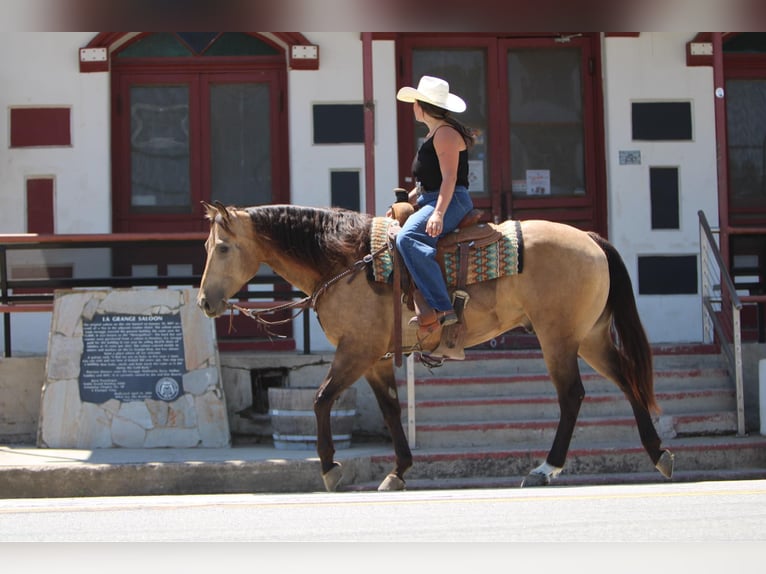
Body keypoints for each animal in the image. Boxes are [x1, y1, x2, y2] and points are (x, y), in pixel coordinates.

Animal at [200, 201, 680, 490]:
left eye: (222, 248)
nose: (205, 301)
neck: (346, 260)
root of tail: (590, 239)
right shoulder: (374, 359)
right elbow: (391, 409)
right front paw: (398, 470)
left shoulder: (355, 351)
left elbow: (320, 400)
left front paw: (330, 468)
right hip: (590, 337)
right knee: (628, 381)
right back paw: (659, 455)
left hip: (558, 339)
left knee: (572, 396)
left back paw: (546, 468)